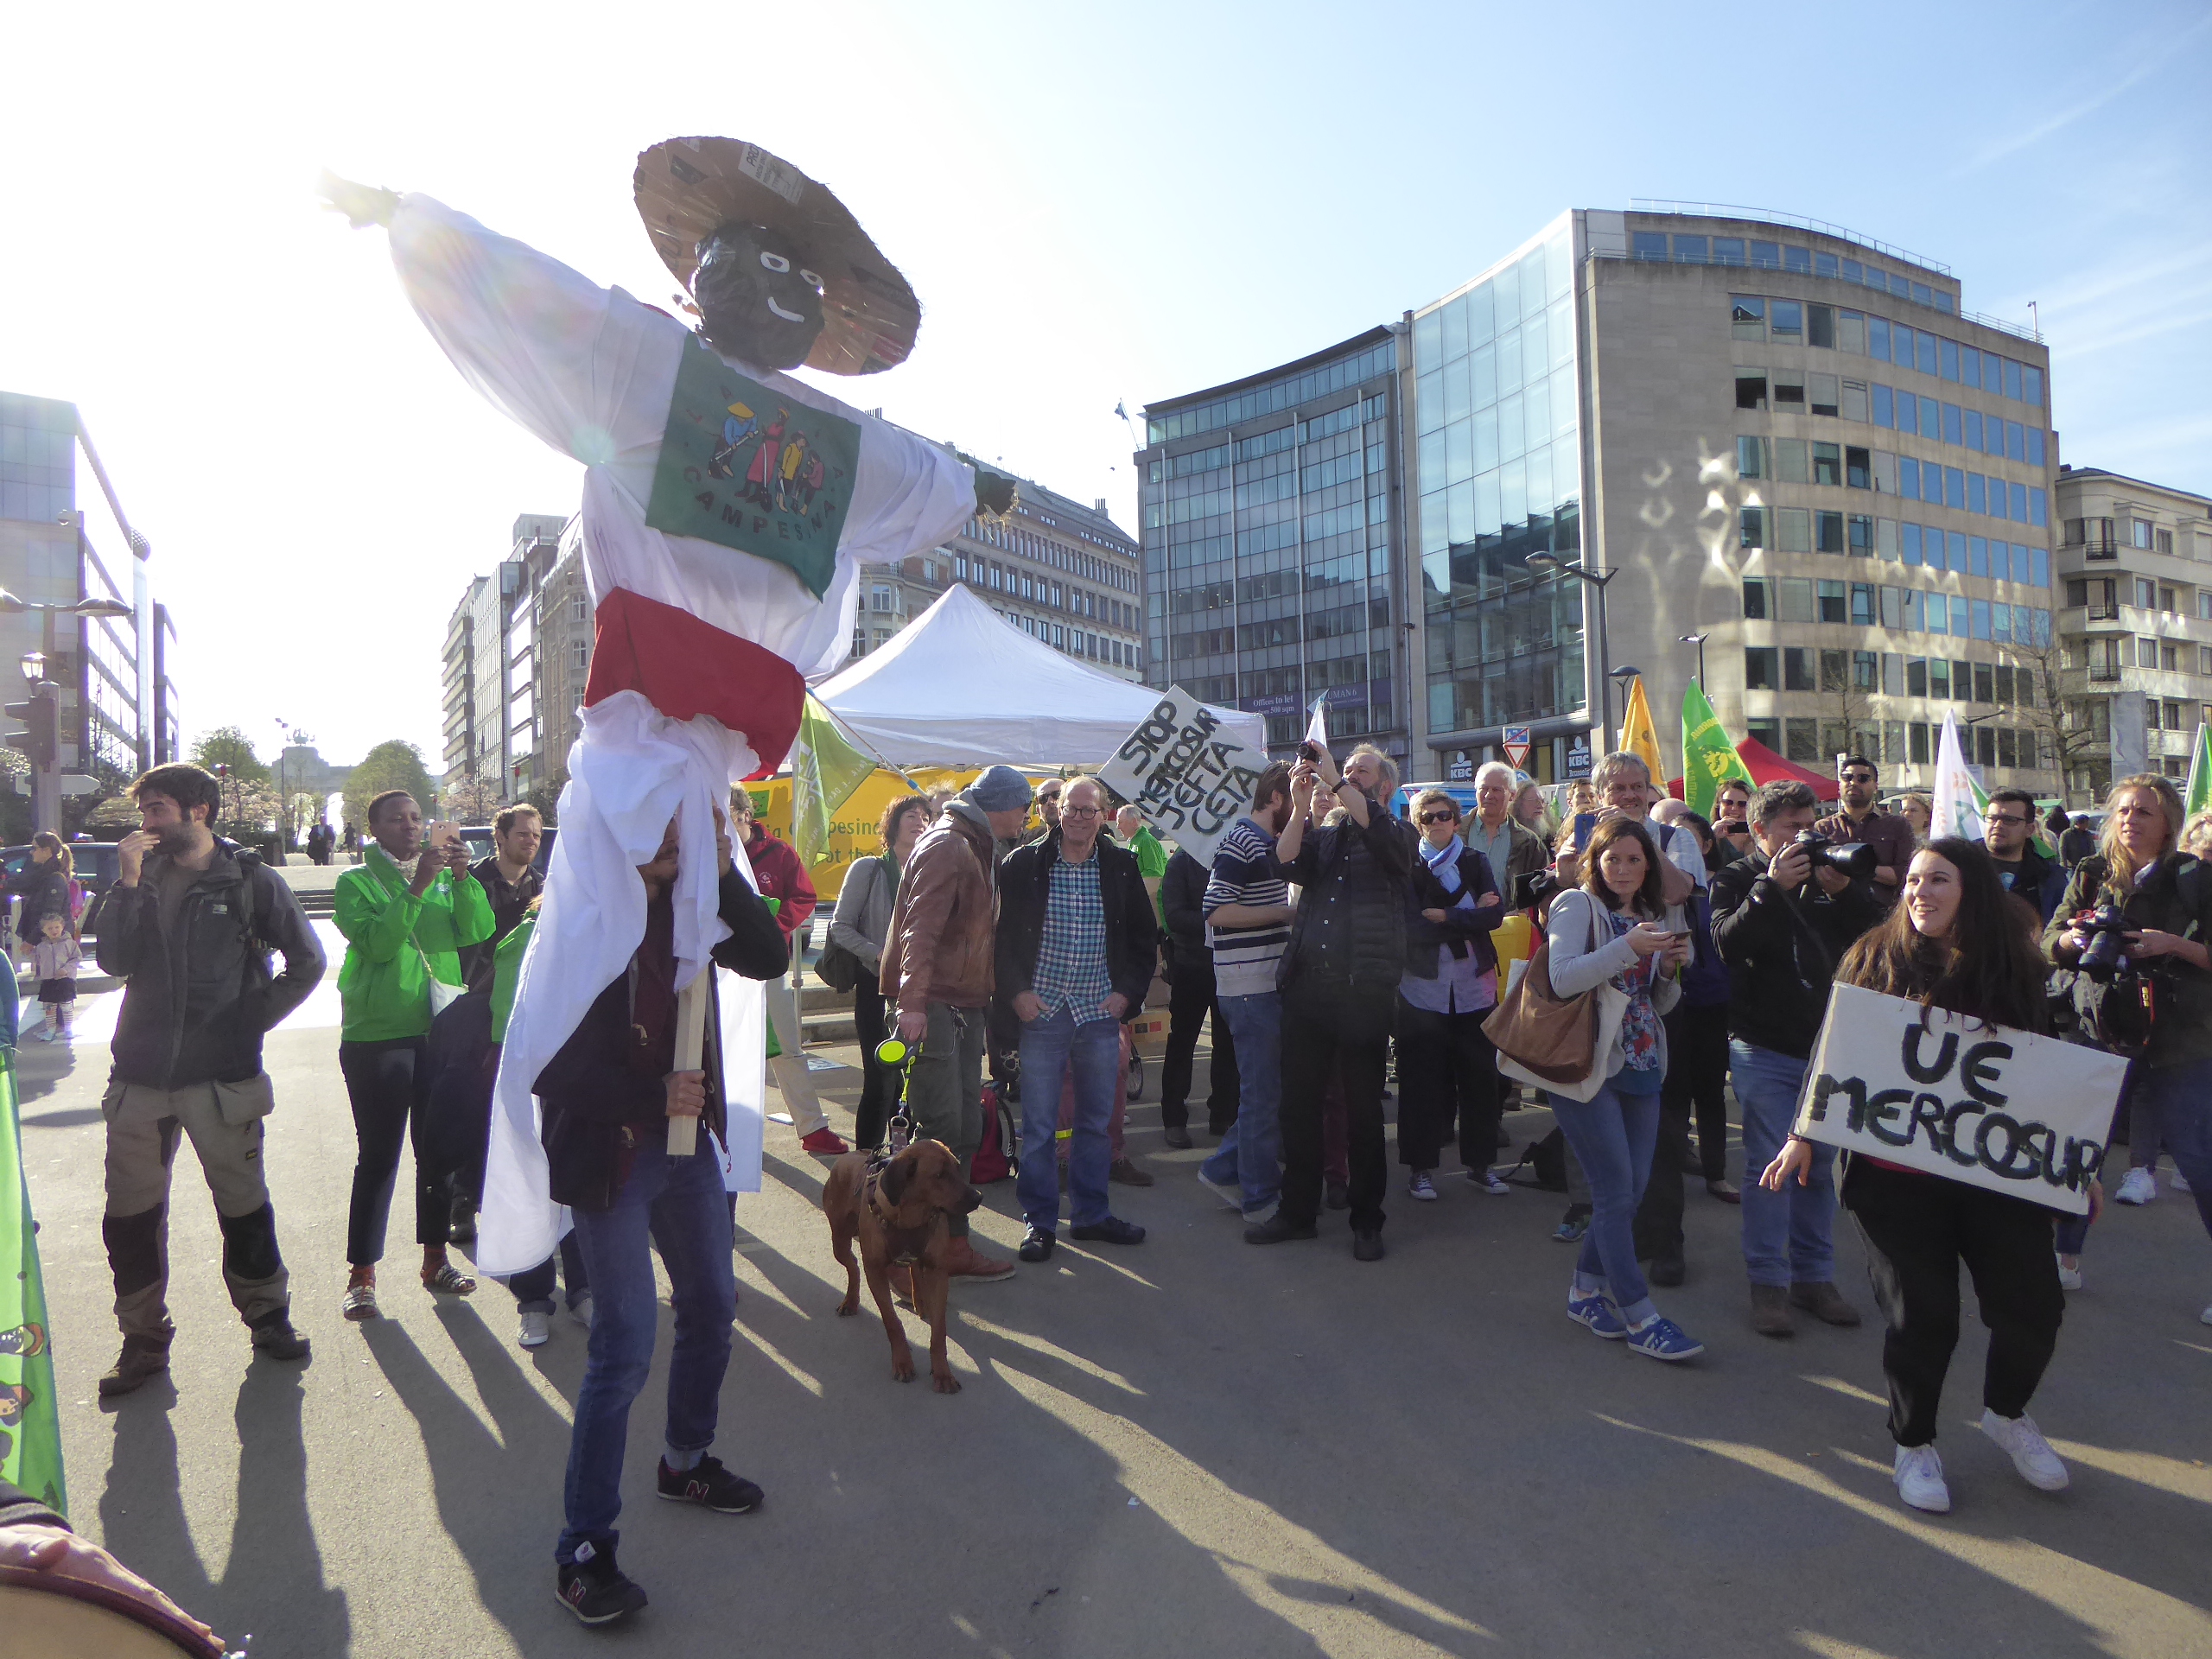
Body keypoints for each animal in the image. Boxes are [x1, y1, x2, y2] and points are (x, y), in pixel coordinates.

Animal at [818, 1141, 982, 1397]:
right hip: (840, 1239)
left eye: (958, 1168)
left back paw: (920, 1302)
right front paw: (903, 1363)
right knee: (853, 1265)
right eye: (940, 1175)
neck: (912, 1215)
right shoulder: (875, 1271)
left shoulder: (937, 1270)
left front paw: (943, 1373)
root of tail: (850, 1155)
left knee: (913, 1267)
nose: (978, 1197)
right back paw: (851, 1300)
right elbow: (892, 1323)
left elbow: (939, 1332)